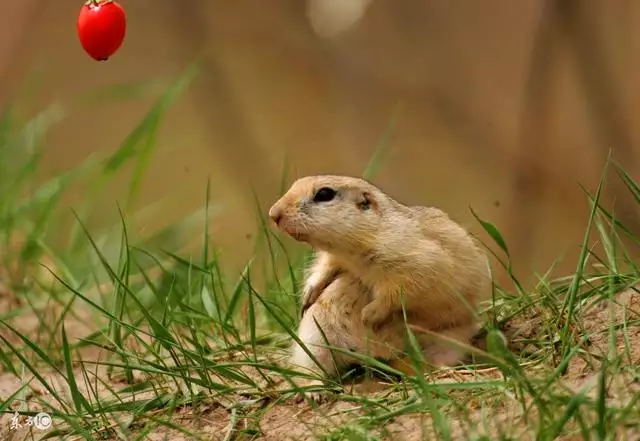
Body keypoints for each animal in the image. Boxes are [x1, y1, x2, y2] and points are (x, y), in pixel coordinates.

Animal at [268, 175, 492, 398]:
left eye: (324, 194)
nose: (273, 214)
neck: (353, 252)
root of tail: (372, 355)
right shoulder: (334, 258)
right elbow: (324, 267)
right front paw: (308, 296)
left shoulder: (417, 261)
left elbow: (401, 290)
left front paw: (369, 315)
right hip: (314, 338)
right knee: (311, 367)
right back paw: (314, 389)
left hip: (450, 339)